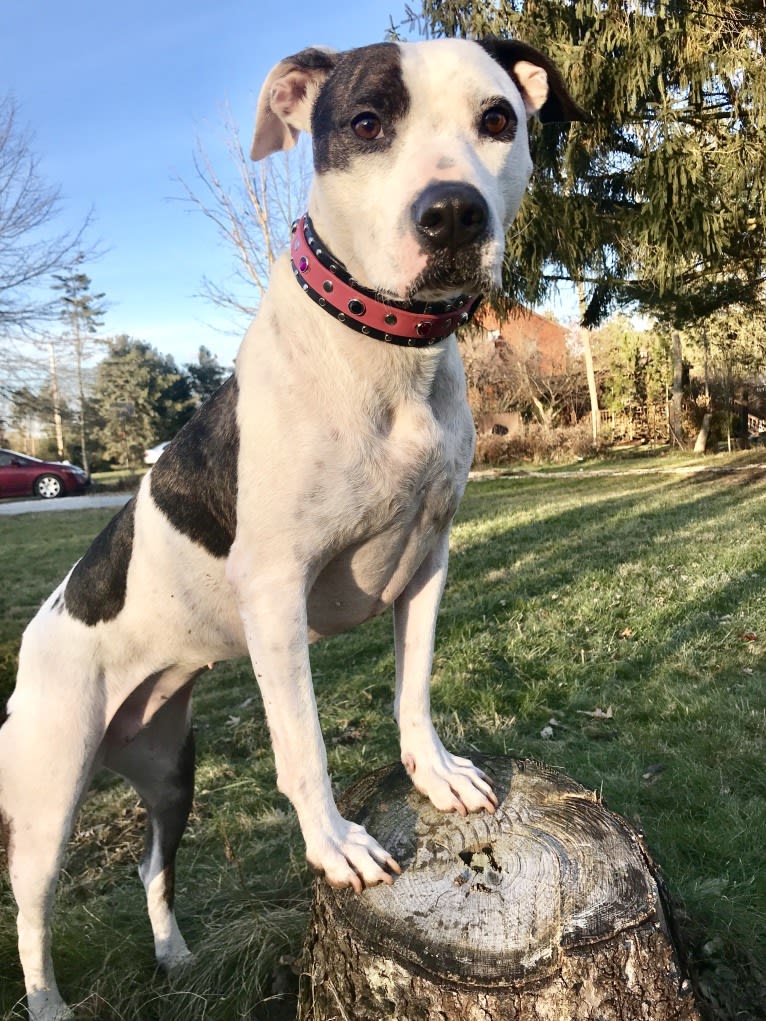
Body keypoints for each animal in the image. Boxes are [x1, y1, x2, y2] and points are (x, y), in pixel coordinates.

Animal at [0, 37, 584, 1021]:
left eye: (498, 118)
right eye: (366, 121)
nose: (451, 213)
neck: (387, 349)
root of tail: (44, 623)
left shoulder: (429, 560)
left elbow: (414, 686)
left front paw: (435, 771)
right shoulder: (276, 592)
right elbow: (303, 743)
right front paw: (336, 844)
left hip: (170, 769)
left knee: (153, 867)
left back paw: (174, 954)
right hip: (49, 791)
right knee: (32, 911)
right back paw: (47, 1002)